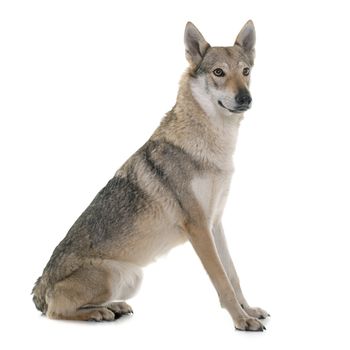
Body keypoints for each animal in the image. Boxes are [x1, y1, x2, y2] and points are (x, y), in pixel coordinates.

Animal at [32, 20, 268, 332]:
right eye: (218, 72)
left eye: (245, 71)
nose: (245, 98)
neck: (215, 146)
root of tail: (41, 285)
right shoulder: (198, 227)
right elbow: (222, 280)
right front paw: (241, 320)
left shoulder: (215, 222)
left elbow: (233, 274)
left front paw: (248, 310)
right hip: (114, 276)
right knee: (56, 312)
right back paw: (98, 313)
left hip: (132, 278)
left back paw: (113, 308)